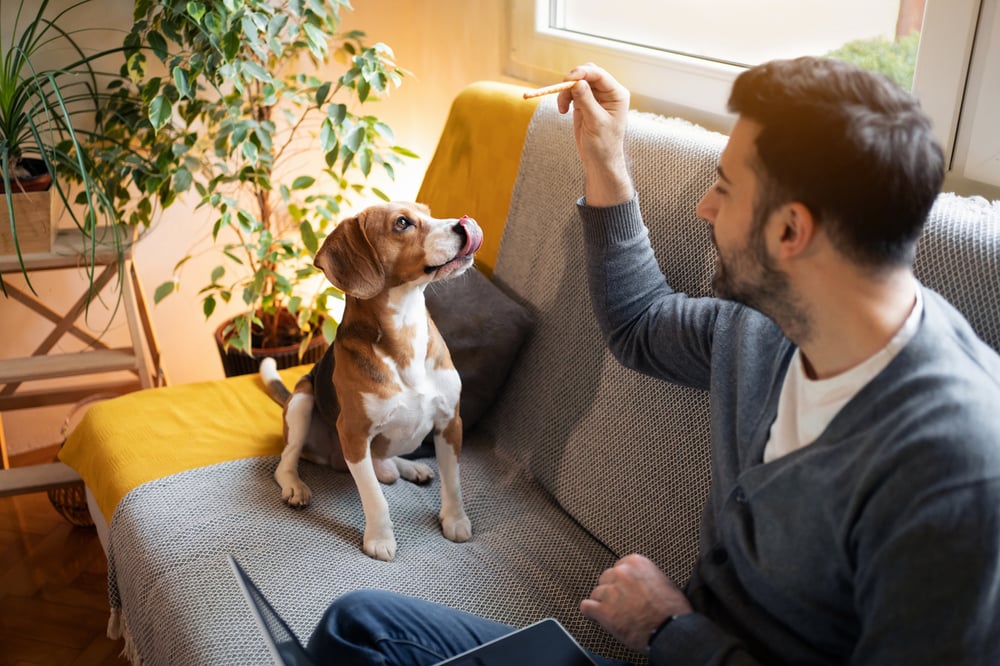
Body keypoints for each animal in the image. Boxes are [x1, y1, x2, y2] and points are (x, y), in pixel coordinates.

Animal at [260, 200, 482, 556]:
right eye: (402, 223)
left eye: (427, 211)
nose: (465, 224)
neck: (405, 326)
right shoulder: (354, 435)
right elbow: (375, 498)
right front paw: (379, 538)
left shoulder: (450, 422)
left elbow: (453, 483)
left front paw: (455, 520)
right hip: (302, 400)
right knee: (286, 461)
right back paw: (295, 486)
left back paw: (409, 467)